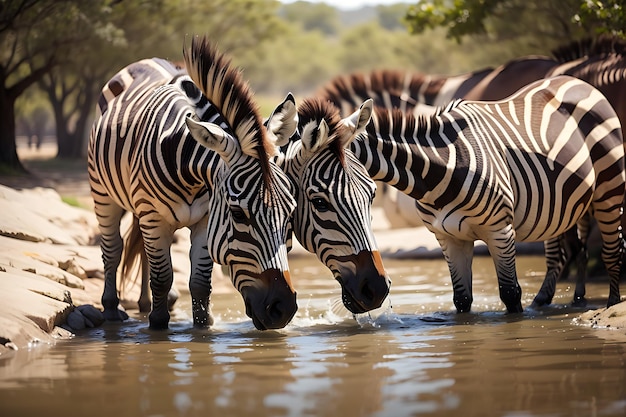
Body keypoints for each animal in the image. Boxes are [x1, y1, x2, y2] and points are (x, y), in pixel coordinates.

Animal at [87, 35, 298, 328]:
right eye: (238, 213)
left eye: (290, 211)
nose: (283, 309)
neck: (188, 169)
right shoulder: (153, 216)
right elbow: (162, 277)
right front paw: (157, 323)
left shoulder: (207, 219)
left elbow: (199, 282)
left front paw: (203, 324)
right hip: (104, 194)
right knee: (113, 248)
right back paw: (110, 308)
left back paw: (147, 302)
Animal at [348, 75, 620, 310]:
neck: (437, 171)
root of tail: (575, 80)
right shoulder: (448, 238)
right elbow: (461, 299)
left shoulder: (500, 231)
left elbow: (510, 293)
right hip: (564, 204)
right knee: (572, 251)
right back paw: (565, 299)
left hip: (610, 188)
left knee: (611, 251)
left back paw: (611, 303)